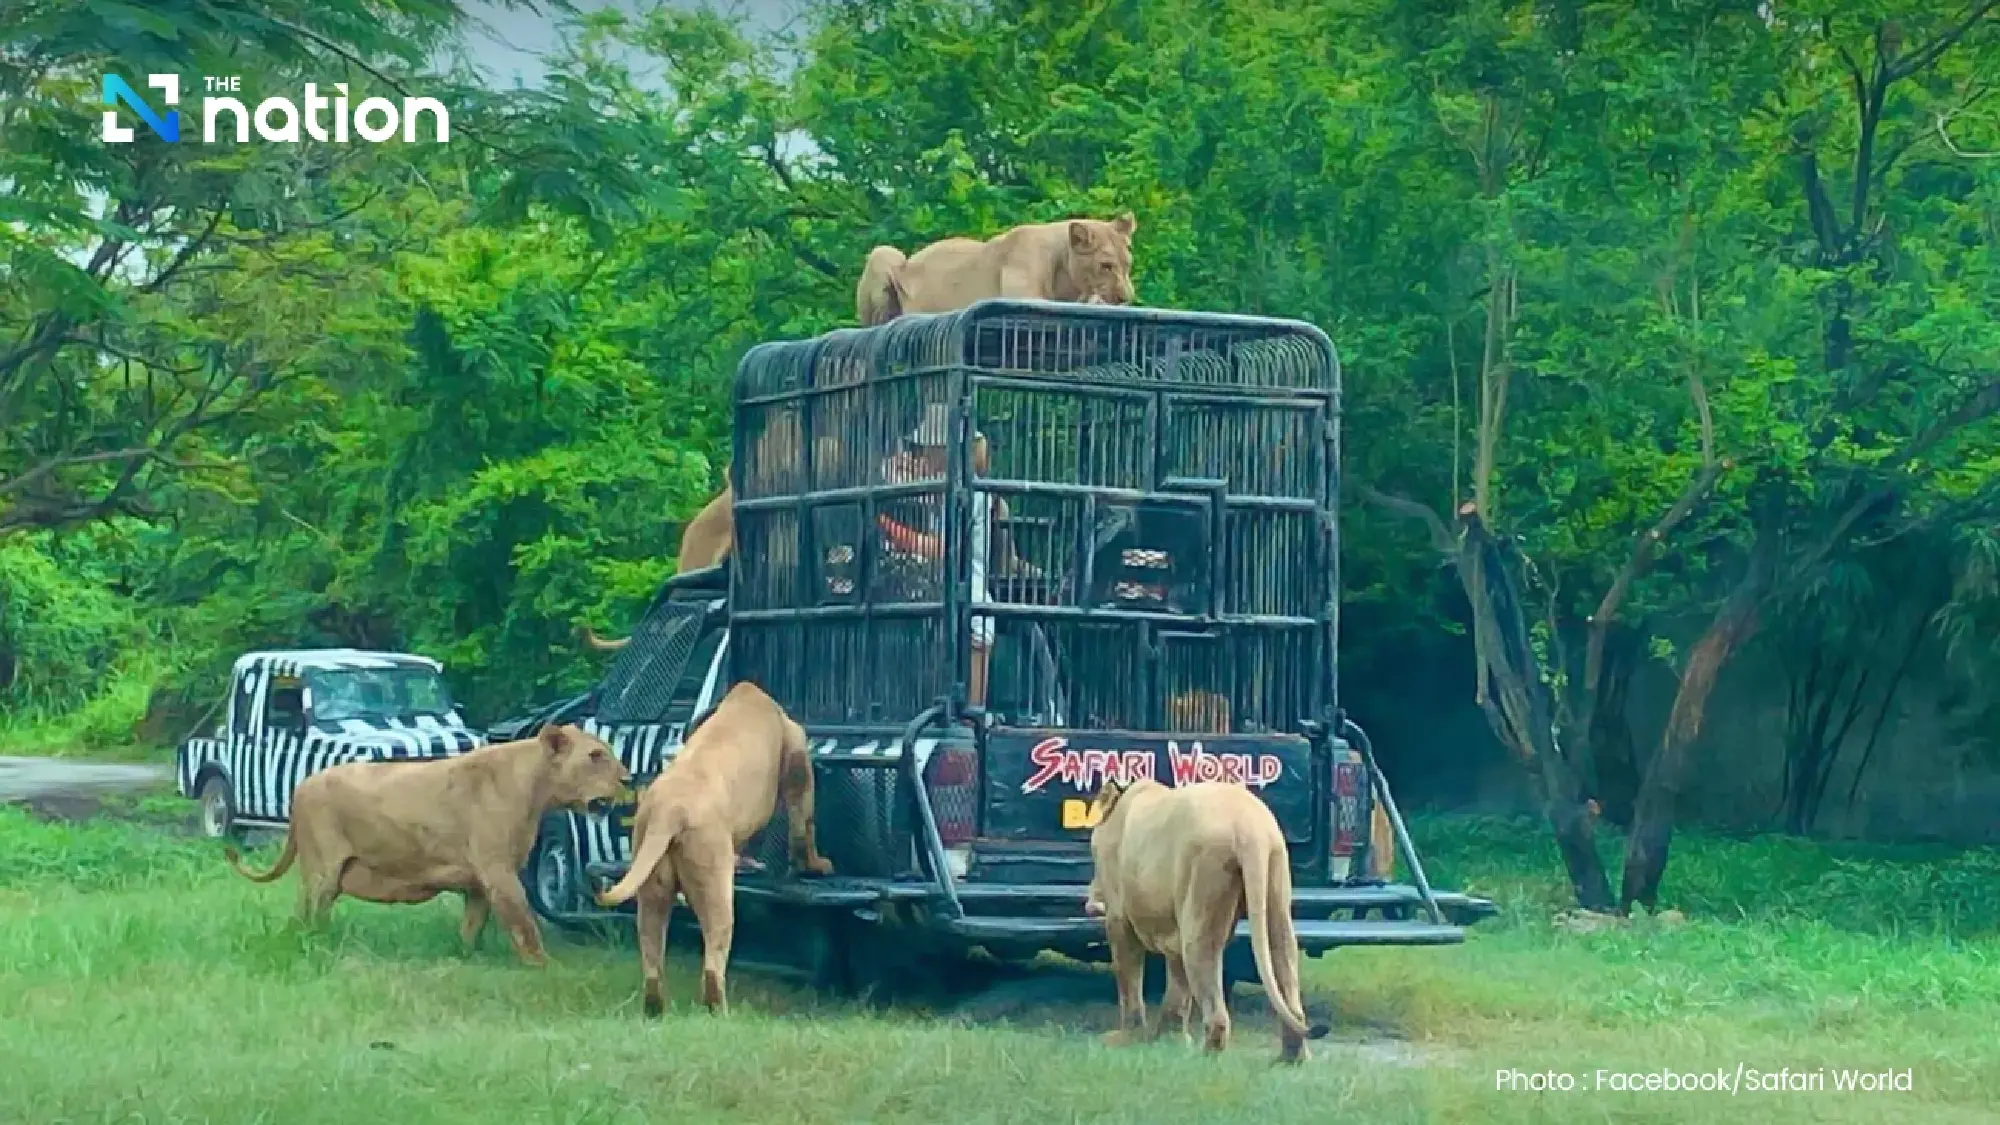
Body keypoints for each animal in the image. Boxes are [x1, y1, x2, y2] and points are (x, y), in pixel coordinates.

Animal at [225, 724, 629, 966]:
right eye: (596, 756)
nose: (628, 777)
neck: (535, 788)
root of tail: (300, 787)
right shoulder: (498, 872)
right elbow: (524, 924)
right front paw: (542, 967)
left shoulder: (478, 882)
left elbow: (472, 927)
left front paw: (465, 958)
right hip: (321, 871)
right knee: (307, 915)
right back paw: (314, 946)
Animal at [595, 681, 833, 1016]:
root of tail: (670, 811)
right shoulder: (797, 761)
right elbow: (803, 823)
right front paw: (817, 866)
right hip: (714, 886)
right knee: (713, 960)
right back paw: (720, 1011)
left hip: (653, 887)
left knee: (652, 956)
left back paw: (655, 1010)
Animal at [1083, 777, 1330, 1064]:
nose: (1090, 902)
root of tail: (1249, 828)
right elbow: (1178, 983)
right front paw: (1169, 1040)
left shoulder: (1119, 917)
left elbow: (1129, 977)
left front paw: (1125, 1039)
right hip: (1275, 881)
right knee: (1284, 959)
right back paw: (1291, 1058)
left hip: (1203, 882)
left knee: (1214, 998)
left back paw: (1204, 1057)